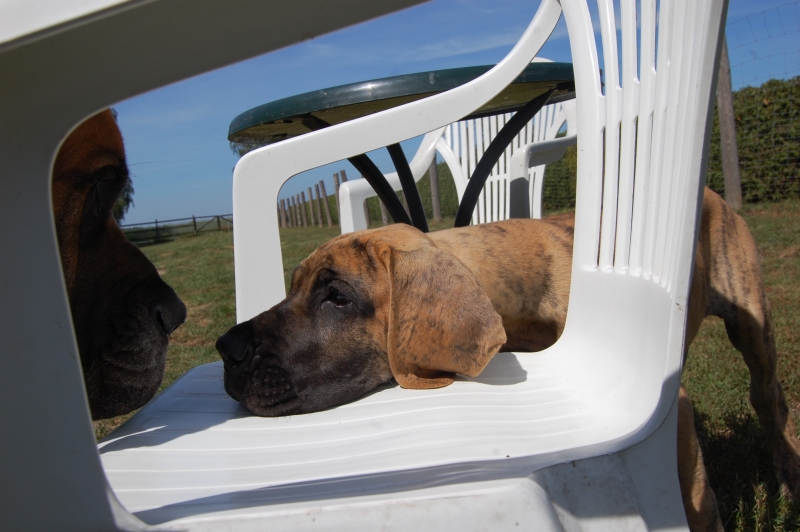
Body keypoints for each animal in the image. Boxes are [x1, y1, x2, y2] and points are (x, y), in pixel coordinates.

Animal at [217, 188, 799, 530]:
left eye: (336, 297)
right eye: (292, 287)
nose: (227, 349)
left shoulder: (670, 409)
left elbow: (695, 497)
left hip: (754, 329)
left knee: (771, 405)